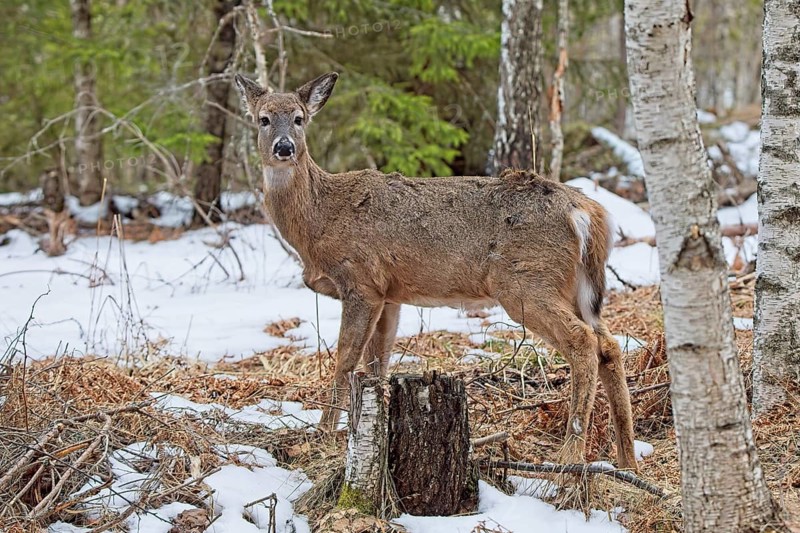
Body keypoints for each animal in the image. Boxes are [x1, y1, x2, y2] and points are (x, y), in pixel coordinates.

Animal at [234, 72, 639, 471]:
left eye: (299, 118)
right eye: (263, 119)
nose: (284, 148)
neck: (318, 221)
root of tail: (588, 212)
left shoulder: (361, 281)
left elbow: (345, 360)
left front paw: (323, 434)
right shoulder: (389, 294)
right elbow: (376, 365)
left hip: (526, 281)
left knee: (583, 341)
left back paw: (570, 457)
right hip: (577, 287)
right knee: (609, 344)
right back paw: (627, 459)